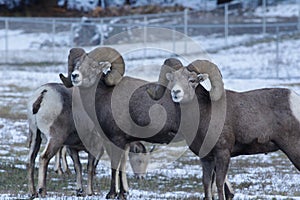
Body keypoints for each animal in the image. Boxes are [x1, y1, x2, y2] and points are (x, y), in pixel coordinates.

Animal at [155, 59, 300, 200]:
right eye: (173, 80)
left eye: (192, 80)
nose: (176, 92)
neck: (205, 114)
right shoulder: (206, 158)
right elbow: (207, 184)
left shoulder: (222, 154)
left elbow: (220, 184)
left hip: (293, 149)